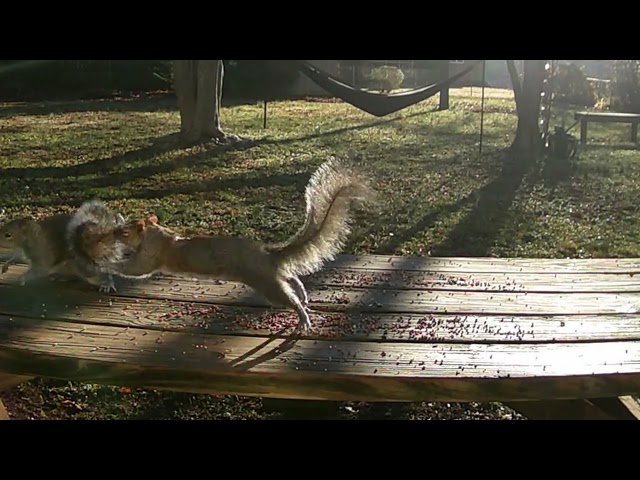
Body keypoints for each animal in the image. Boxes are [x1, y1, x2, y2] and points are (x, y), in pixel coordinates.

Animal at [0, 200, 129, 292]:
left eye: (8, 235)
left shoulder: (41, 255)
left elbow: (39, 269)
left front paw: (21, 278)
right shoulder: (19, 252)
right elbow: (14, 258)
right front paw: (6, 265)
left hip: (82, 266)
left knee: (97, 275)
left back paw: (107, 284)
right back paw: (62, 277)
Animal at [105, 158, 376, 330]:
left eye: (125, 232)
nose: (113, 233)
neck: (155, 233)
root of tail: (266, 253)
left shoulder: (151, 256)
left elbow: (134, 268)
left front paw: (105, 264)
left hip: (267, 283)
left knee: (289, 297)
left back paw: (302, 317)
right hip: (272, 275)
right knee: (292, 277)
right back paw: (303, 293)